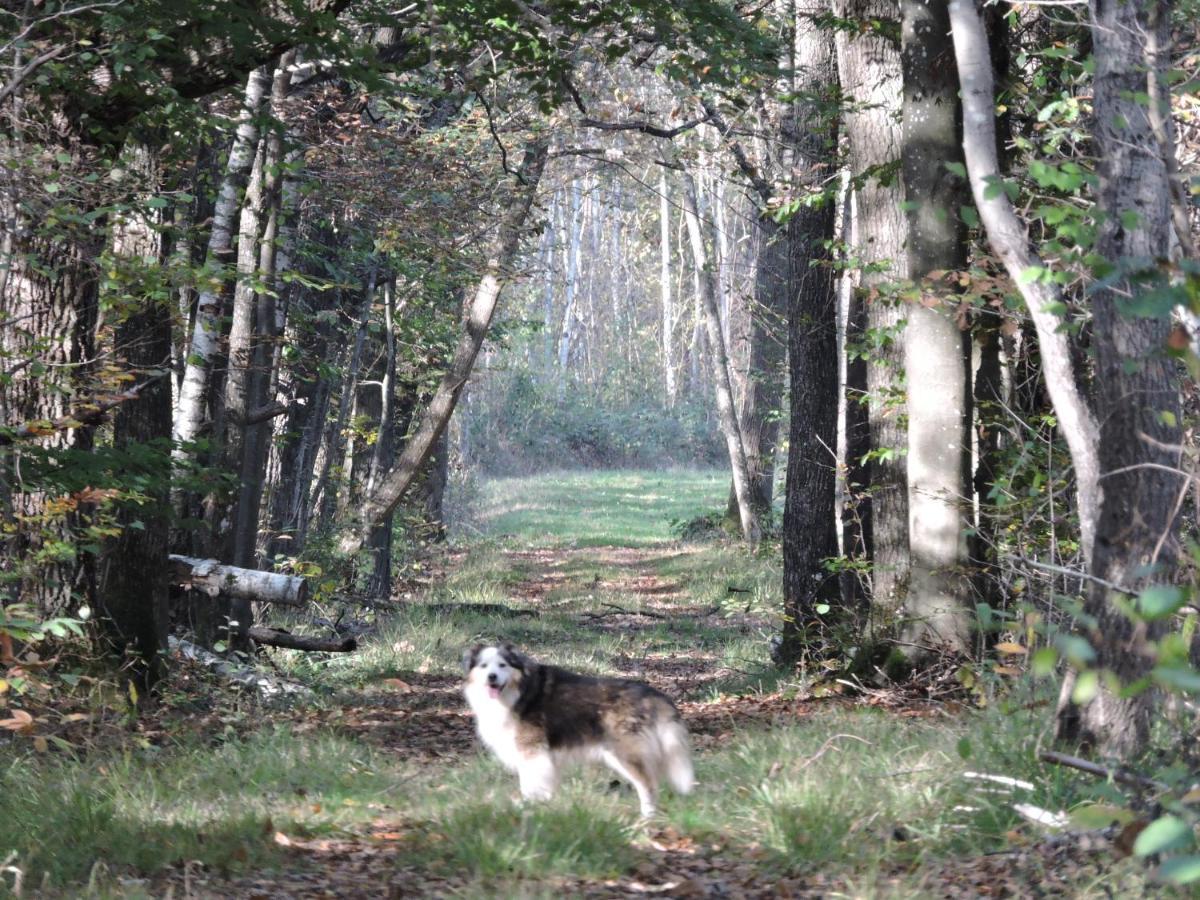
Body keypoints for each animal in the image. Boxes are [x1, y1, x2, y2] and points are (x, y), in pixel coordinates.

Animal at [460, 643, 696, 816]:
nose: (491, 677)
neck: (519, 691)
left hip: (626, 753)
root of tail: (653, 694)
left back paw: (647, 817)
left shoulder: (532, 752)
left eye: (502, 665)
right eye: (483, 666)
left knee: (649, 785)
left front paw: (529, 808)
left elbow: (529, 786)